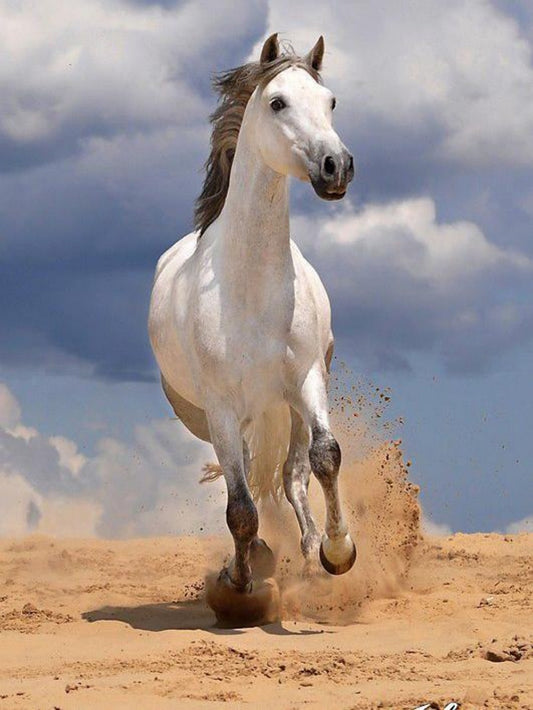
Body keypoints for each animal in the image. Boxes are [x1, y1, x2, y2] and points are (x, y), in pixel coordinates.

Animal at [148, 33, 356, 624]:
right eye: (277, 103)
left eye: (331, 101)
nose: (337, 167)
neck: (253, 289)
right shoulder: (221, 406)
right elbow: (240, 508)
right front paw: (238, 583)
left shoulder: (306, 381)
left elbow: (325, 457)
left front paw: (338, 552)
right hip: (222, 416)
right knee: (245, 482)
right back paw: (258, 559)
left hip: (284, 404)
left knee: (291, 474)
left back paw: (309, 553)